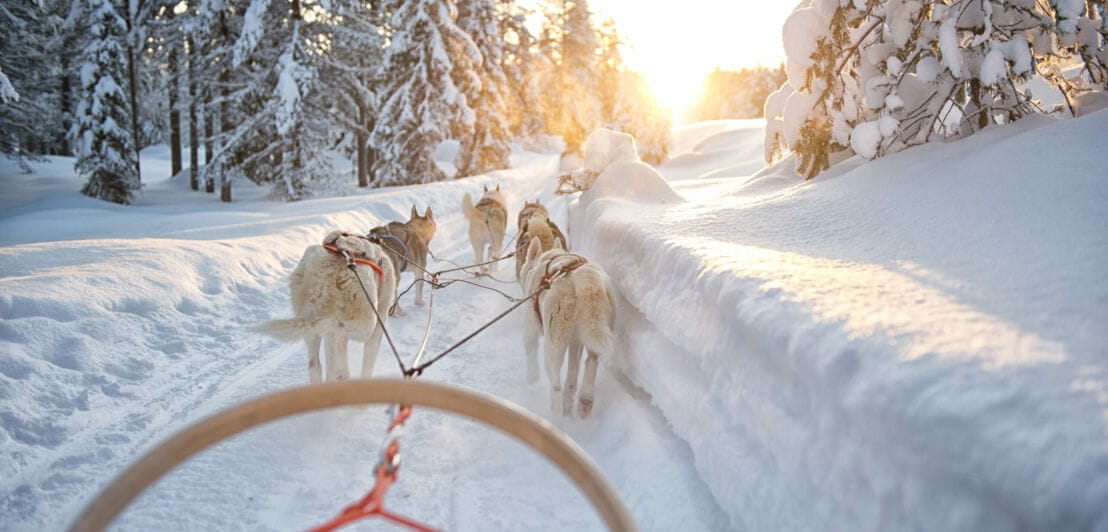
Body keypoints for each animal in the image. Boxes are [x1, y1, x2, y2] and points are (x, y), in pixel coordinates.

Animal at [254, 230, 398, 383]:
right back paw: (342, 370)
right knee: (341, 347)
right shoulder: (378, 327)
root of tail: (325, 278)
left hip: (311, 322)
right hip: (366, 321)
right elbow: (367, 365)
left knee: (315, 364)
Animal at [518, 238, 616, 418]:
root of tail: (583, 279)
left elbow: (530, 350)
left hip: (553, 343)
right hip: (597, 325)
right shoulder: (575, 342)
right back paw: (583, 400)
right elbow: (574, 368)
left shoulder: (530, 326)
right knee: (588, 363)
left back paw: (557, 414)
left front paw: (532, 379)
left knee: (556, 383)